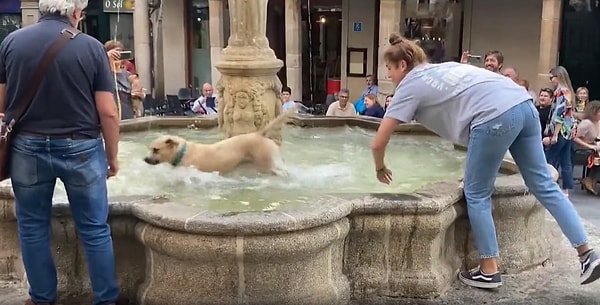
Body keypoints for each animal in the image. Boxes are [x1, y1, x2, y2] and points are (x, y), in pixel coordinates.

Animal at [144, 105, 298, 175]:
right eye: (150, 148)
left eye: (156, 149)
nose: (145, 159)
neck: (182, 152)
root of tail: (259, 134)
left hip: (265, 163)